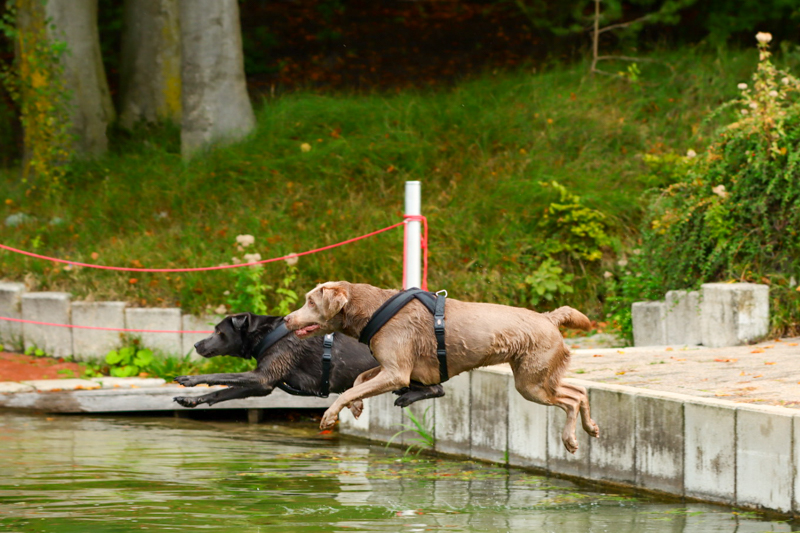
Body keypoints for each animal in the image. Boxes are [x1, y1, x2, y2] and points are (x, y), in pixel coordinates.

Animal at [173, 314, 444, 410]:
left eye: (219, 332)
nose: (197, 345)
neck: (267, 335)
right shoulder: (263, 386)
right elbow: (220, 392)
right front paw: (191, 400)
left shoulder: (262, 377)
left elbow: (219, 377)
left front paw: (189, 379)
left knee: (437, 389)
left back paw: (408, 396)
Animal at [284, 280, 596, 450]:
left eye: (310, 301)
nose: (287, 319)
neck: (372, 310)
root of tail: (548, 317)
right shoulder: (391, 365)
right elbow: (358, 380)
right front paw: (357, 407)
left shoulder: (397, 372)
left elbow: (350, 388)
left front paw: (329, 415)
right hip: (536, 377)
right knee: (579, 391)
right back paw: (591, 428)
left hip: (531, 381)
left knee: (570, 399)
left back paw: (570, 440)